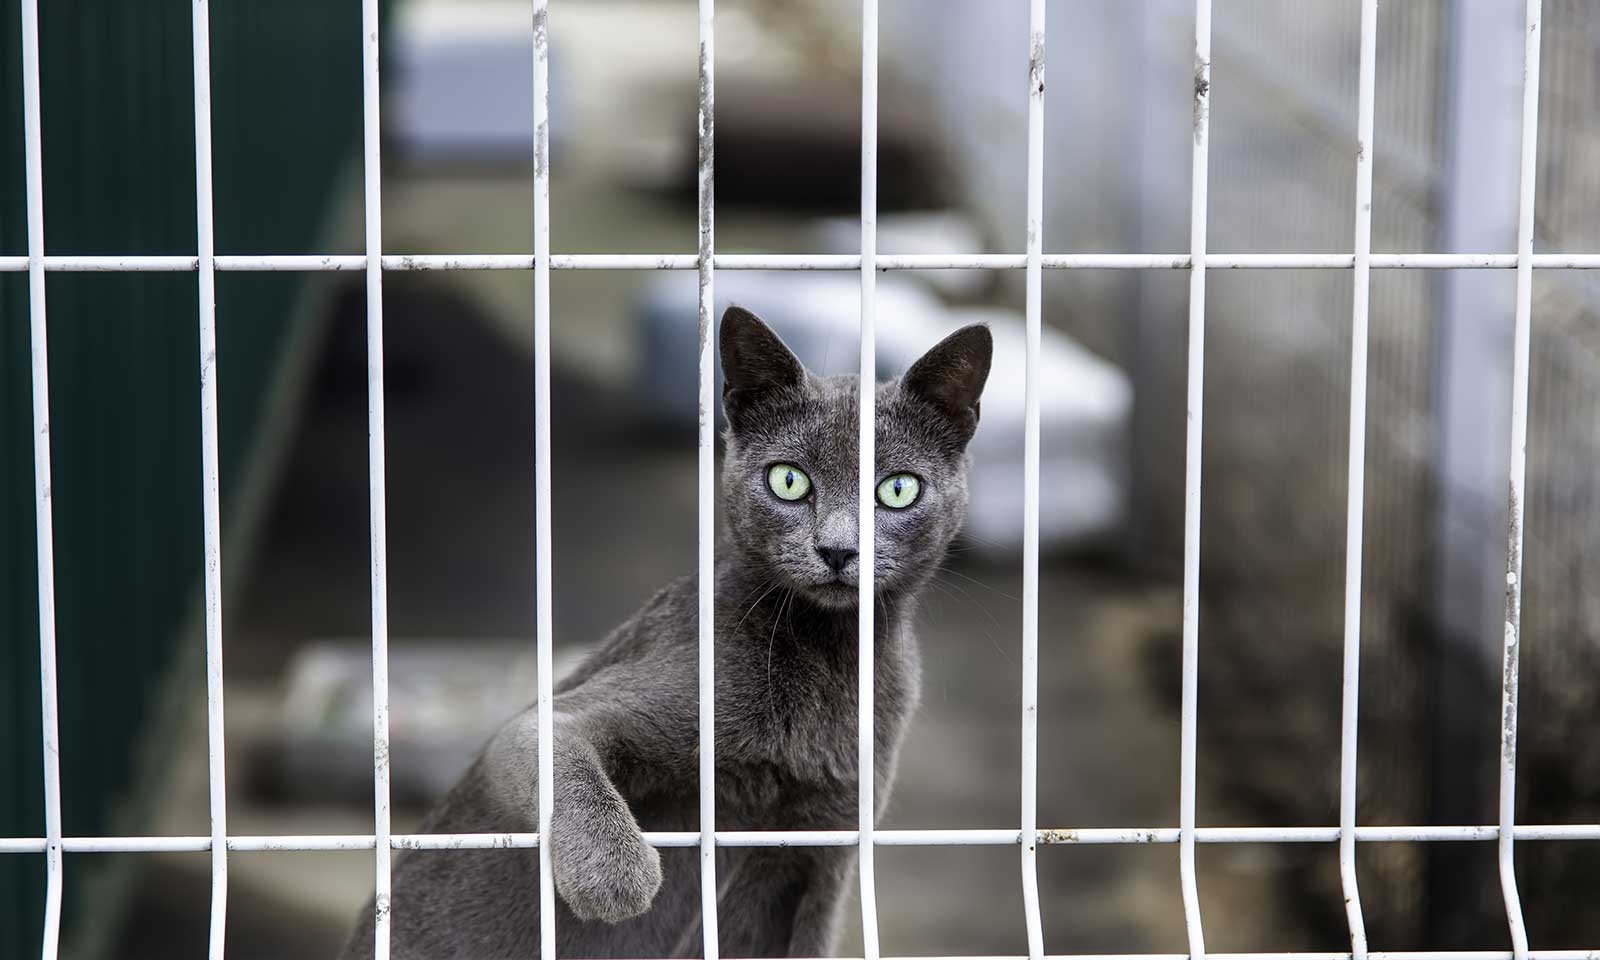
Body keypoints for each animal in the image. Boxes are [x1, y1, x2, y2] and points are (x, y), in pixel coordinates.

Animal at [340, 307, 985, 960]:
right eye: (788, 481)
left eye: (897, 489)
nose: (837, 549)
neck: (828, 656)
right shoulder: (589, 709)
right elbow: (553, 750)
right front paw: (617, 877)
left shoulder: (819, 851)